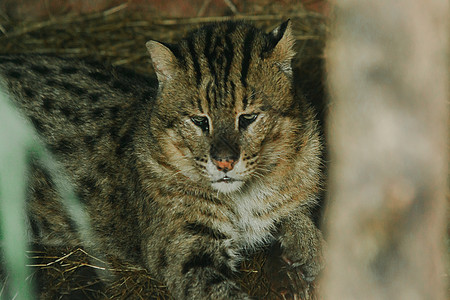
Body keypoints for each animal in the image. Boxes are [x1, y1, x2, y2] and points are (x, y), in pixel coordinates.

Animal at [0, 20, 324, 298]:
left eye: (249, 118)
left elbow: (300, 220)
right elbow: (218, 290)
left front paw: (310, 253)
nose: (224, 163)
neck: (245, 193)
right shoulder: (185, 247)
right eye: (199, 120)